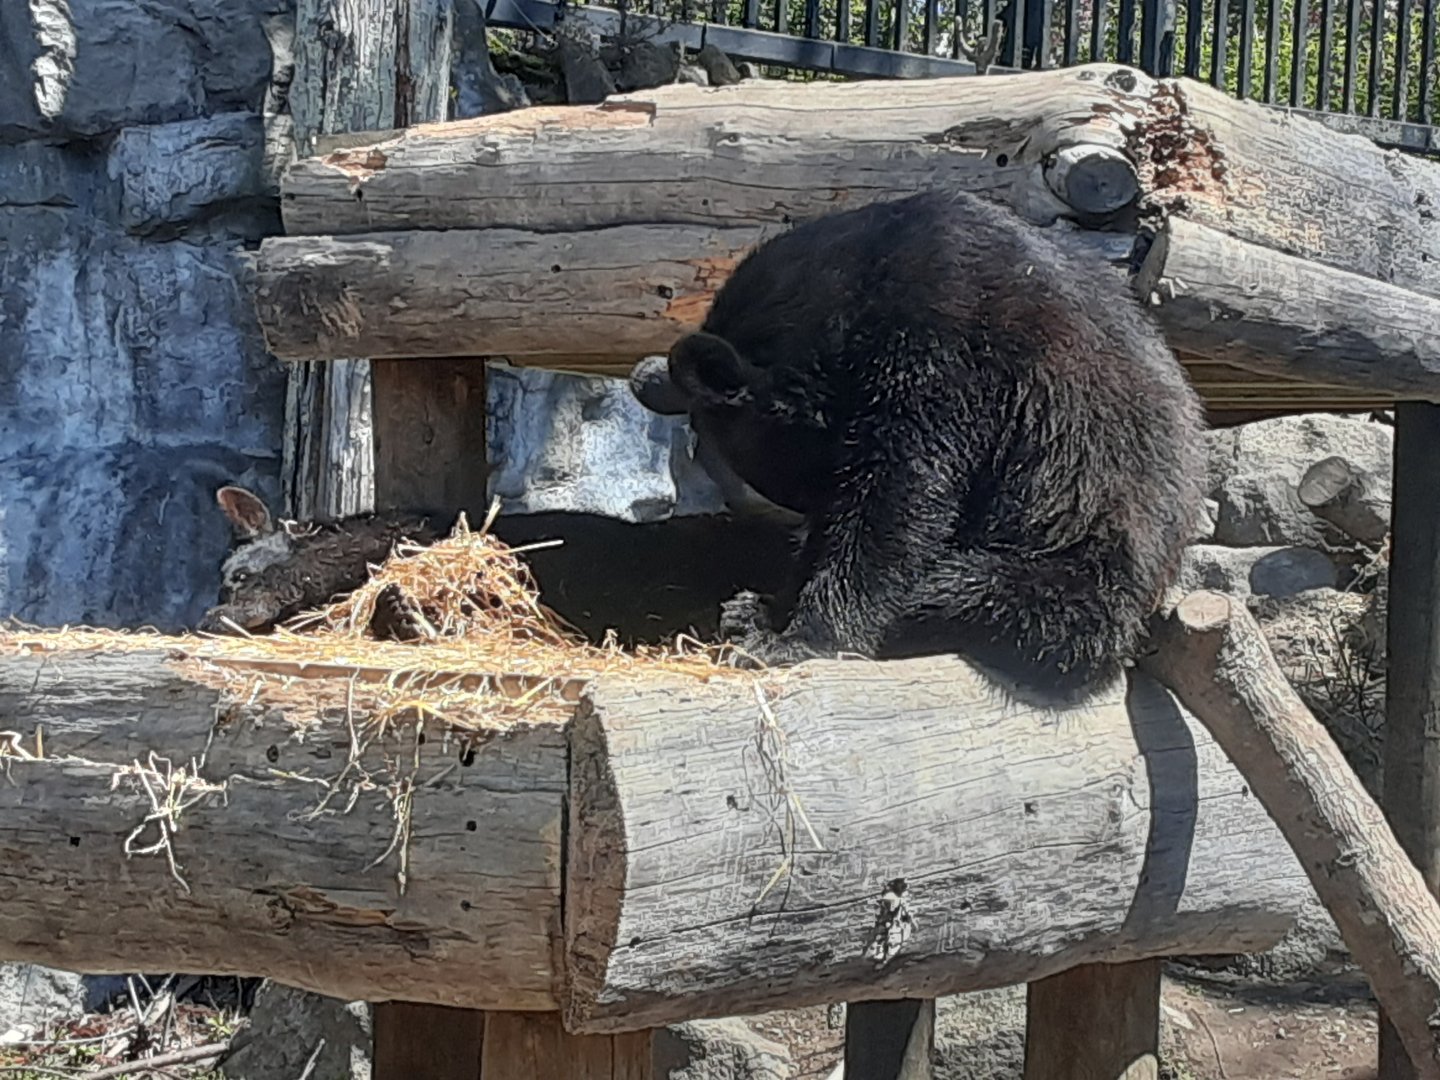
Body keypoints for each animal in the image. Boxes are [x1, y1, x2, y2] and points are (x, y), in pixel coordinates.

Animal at [630, 188, 1207, 701]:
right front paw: (772, 606)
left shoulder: (944, 341)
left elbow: (901, 490)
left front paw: (793, 636)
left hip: (1077, 557)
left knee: (986, 594)